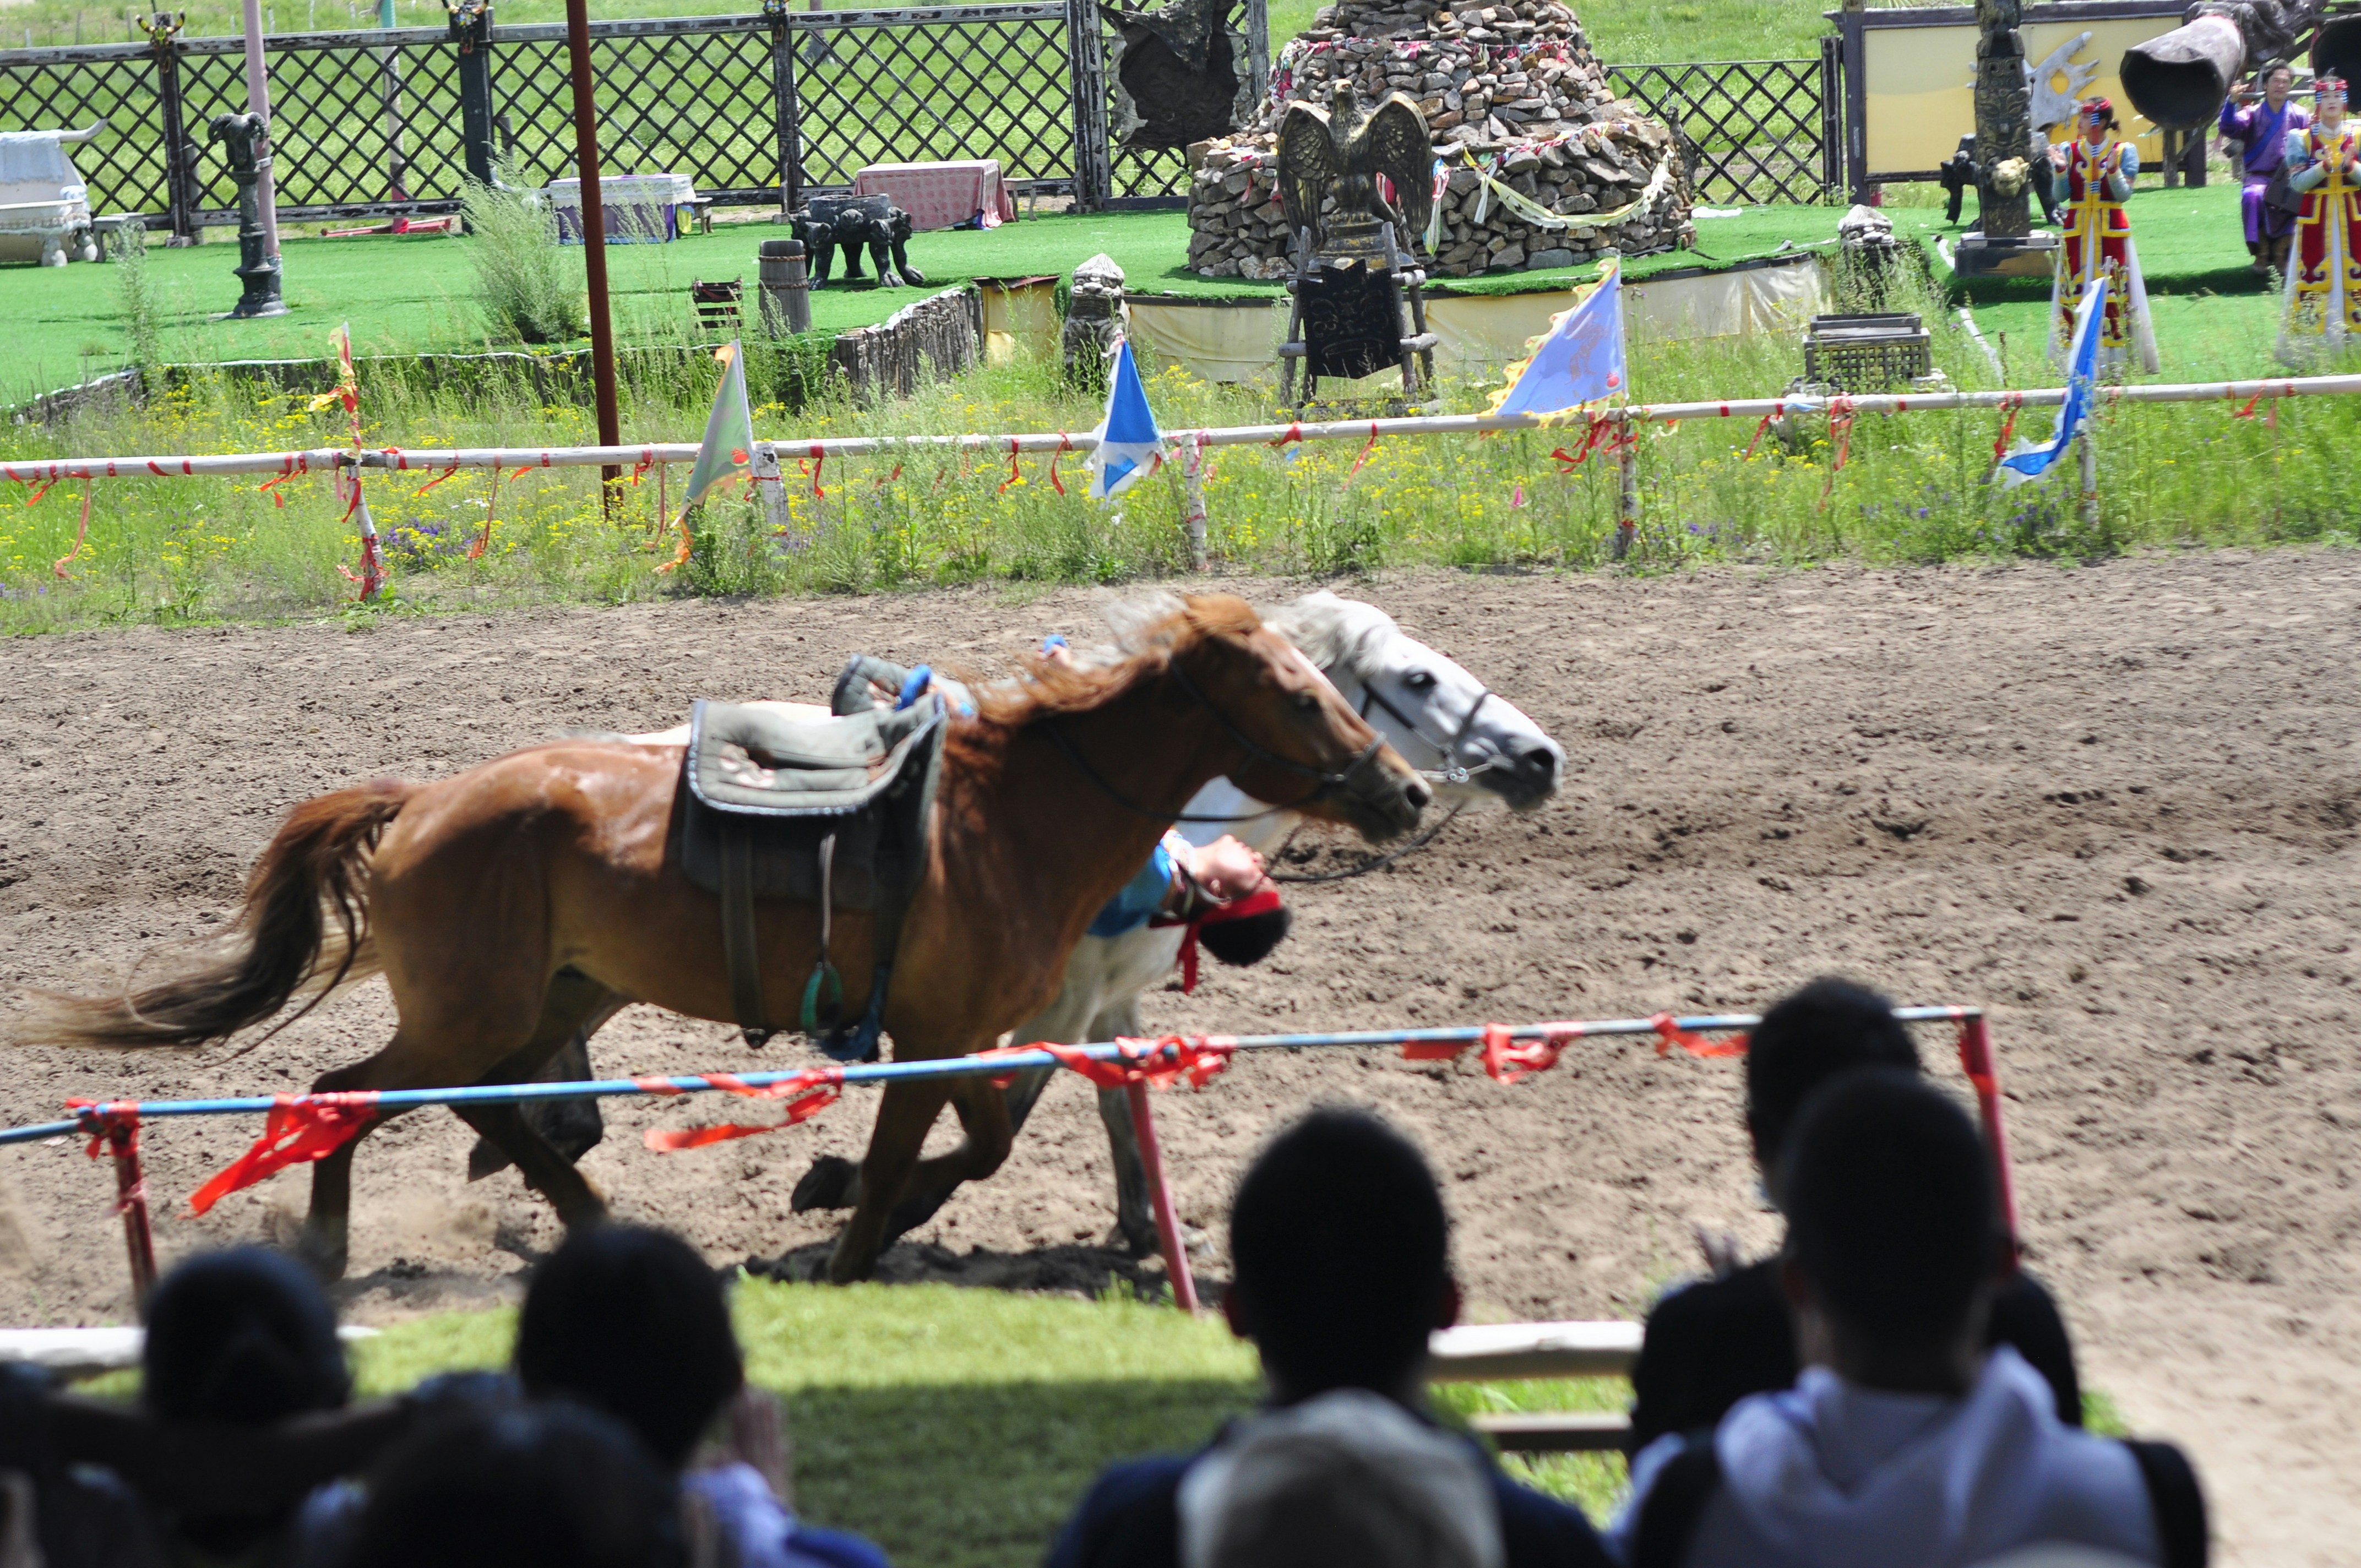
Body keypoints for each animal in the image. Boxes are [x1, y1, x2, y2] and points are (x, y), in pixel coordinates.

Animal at [25, 595, 1429, 1285]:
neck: (1011, 817)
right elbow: (930, 1148)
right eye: (1299, 695)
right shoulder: (932, 1033)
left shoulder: (974, 1032)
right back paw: (340, 1241)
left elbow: (980, 1141)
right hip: (475, 1005)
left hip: (539, 1001)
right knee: (352, 1089)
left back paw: (573, 1214)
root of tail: (422, 802)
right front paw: (845, 1240)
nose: (1404, 790)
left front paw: (831, 1191)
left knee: (464, 1101)